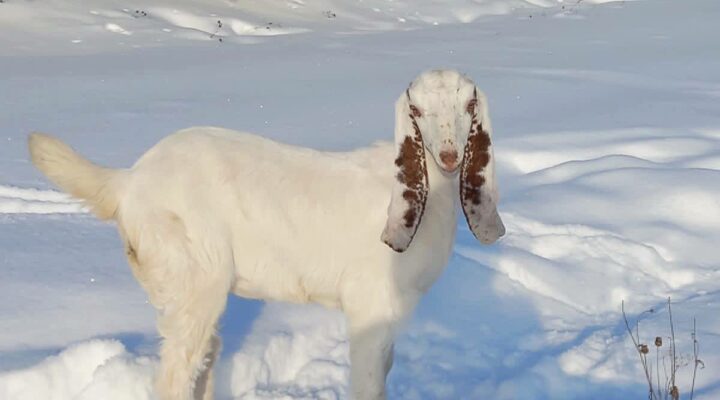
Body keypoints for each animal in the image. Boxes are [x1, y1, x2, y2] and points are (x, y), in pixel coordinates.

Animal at [29, 69, 506, 400]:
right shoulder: (370, 305)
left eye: (468, 107)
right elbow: (369, 383)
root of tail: (129, 181)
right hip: (193, 276)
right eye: (418, 112)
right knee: (175, 374)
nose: (448, 156)